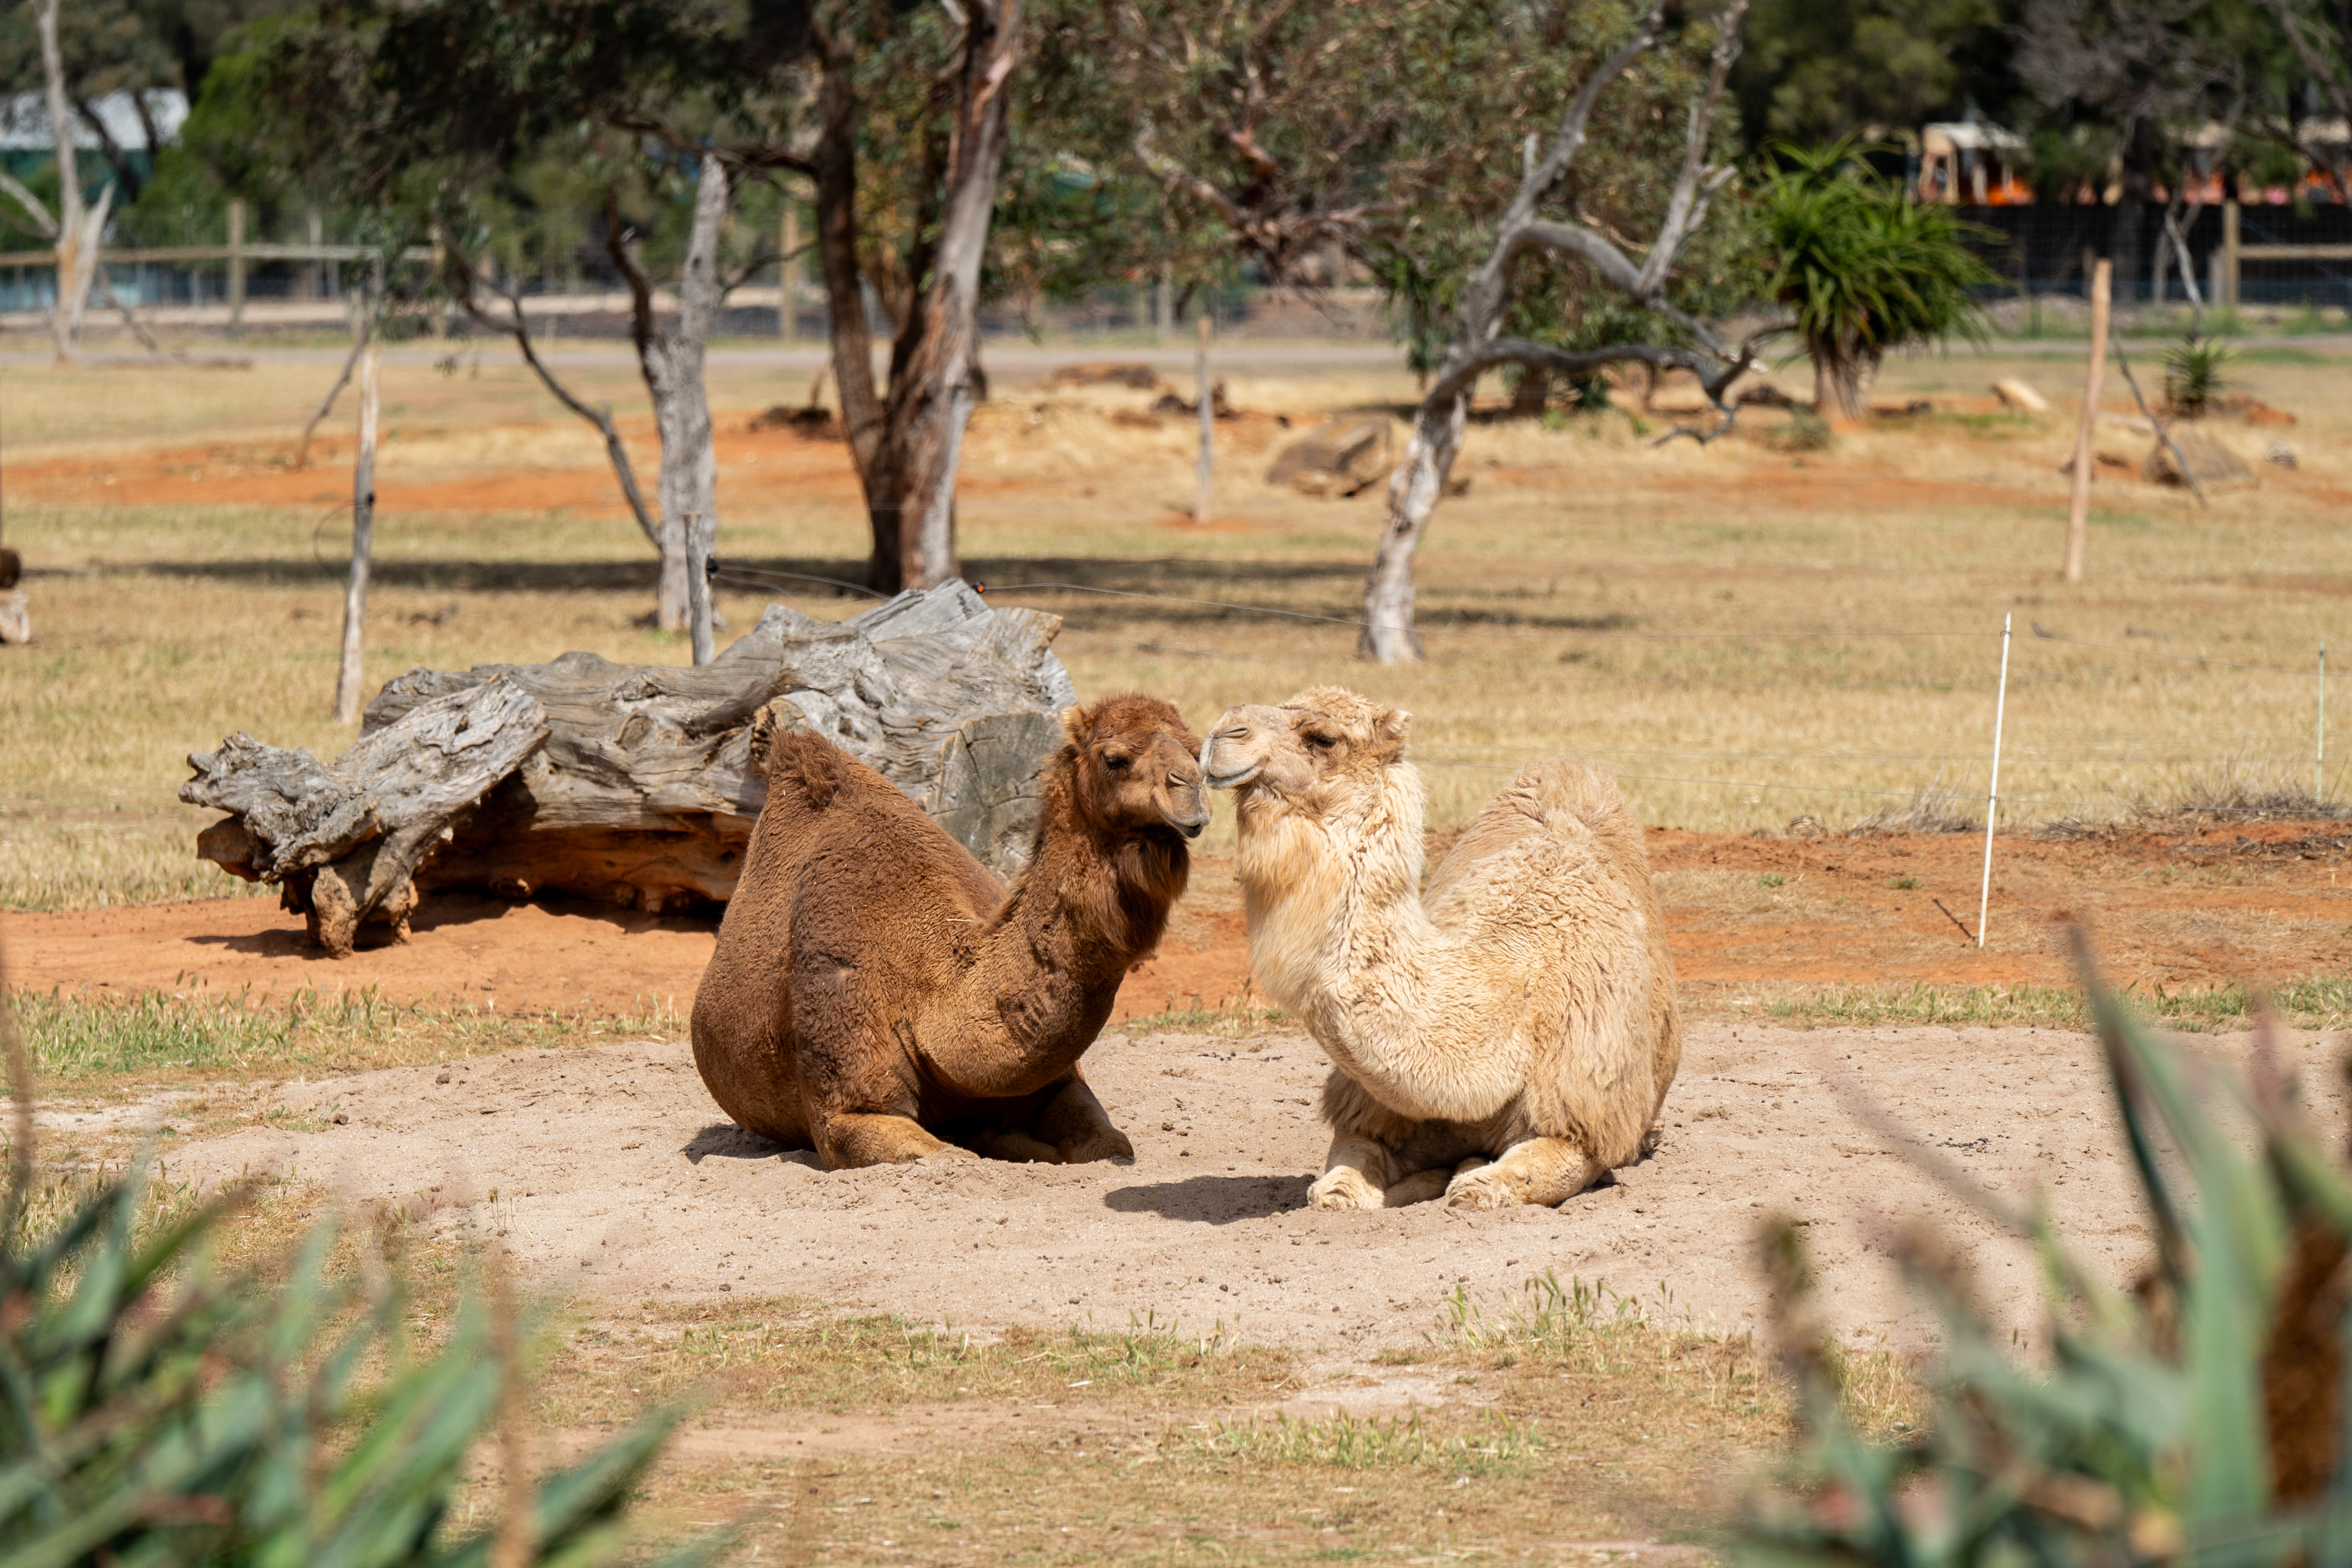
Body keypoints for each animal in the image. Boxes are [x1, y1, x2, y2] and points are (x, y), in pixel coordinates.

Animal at [690, 695, 1209, 1169]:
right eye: (1114, 758)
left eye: (1197, 751)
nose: (1191, 792)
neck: (931, 998)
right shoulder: (848, 1105)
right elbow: (948, 1156)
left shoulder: (1061, 1083)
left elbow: (1110, 1145)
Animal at [1200, 687, 1678, 1210]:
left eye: (1324, 738)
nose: (1222, 732)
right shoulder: (1370, 1108)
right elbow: (1337, 1185)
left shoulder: (1584, 1112)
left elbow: (1496, 1184)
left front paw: (1467, 1177)